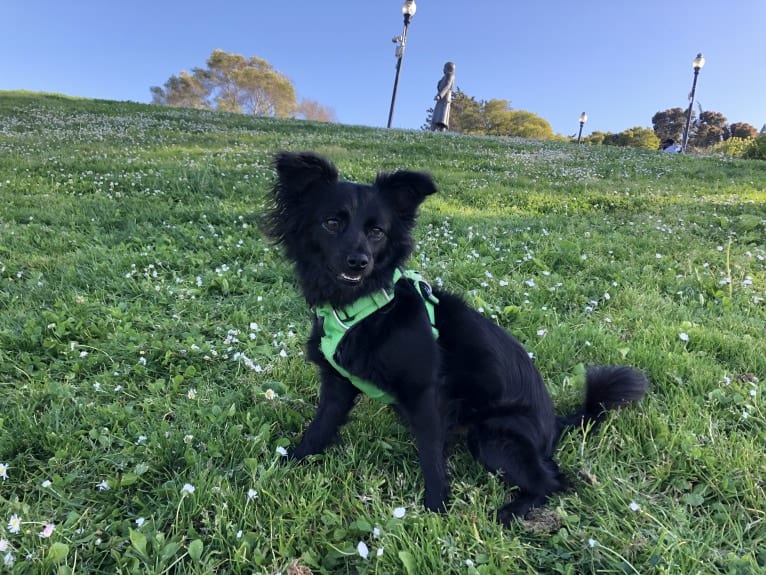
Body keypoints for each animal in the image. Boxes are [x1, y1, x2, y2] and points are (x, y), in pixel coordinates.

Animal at [262, 151, 648, 524]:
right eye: (331, 223)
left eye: (377, 232)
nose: (359, 261)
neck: (365, 307)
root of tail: (554, 425)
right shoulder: (338, 384)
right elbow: (320, 427)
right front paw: (292, 461)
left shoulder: (425, 394)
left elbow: (431, 456)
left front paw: (436, 508)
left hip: (493, 434)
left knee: (553, 481)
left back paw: (514, 511)